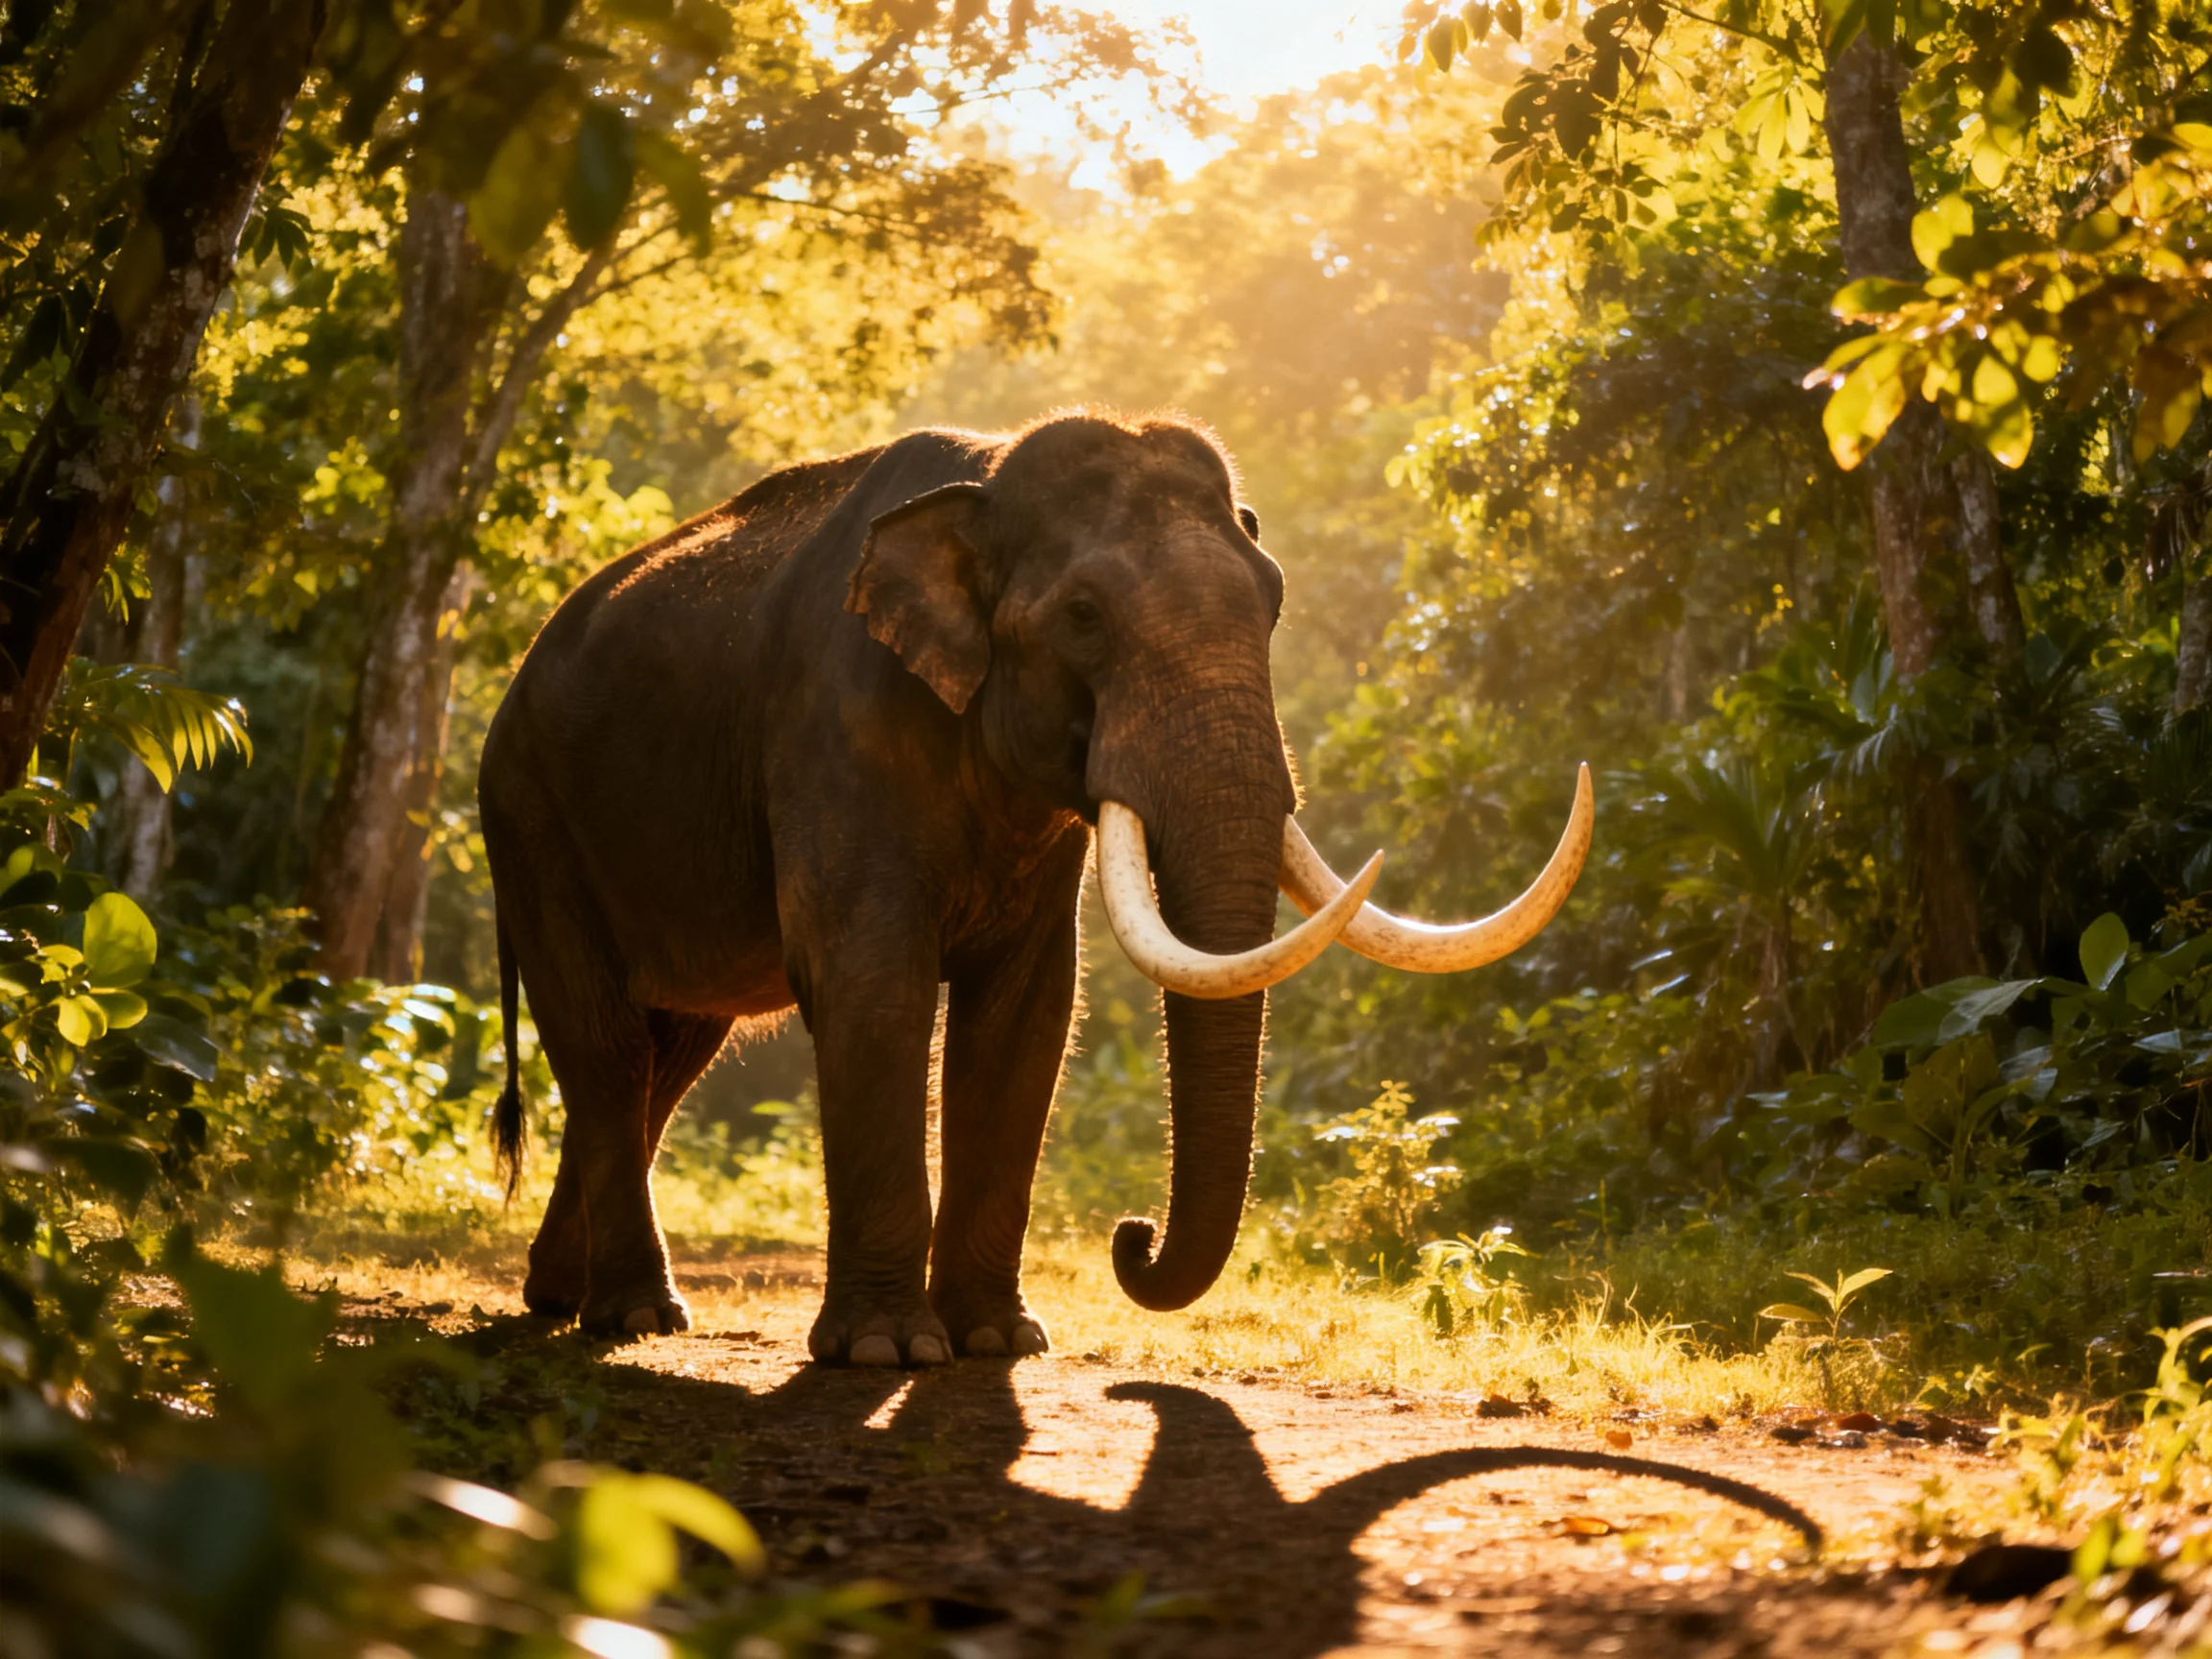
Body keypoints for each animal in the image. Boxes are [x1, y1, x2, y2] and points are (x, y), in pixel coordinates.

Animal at [477, 411, 1591, 1361]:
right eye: (1084, 616)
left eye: (1273, 602)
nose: (1130, 1236)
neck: (987, 477)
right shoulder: (837, 732)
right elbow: (872, 985)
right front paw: (888, 1351)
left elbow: (1029, 1012)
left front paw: (998, 1343)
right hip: (528, 817)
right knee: (607, 1041)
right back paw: (635, 1318)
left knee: (671, 1053)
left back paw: (564, 1297)